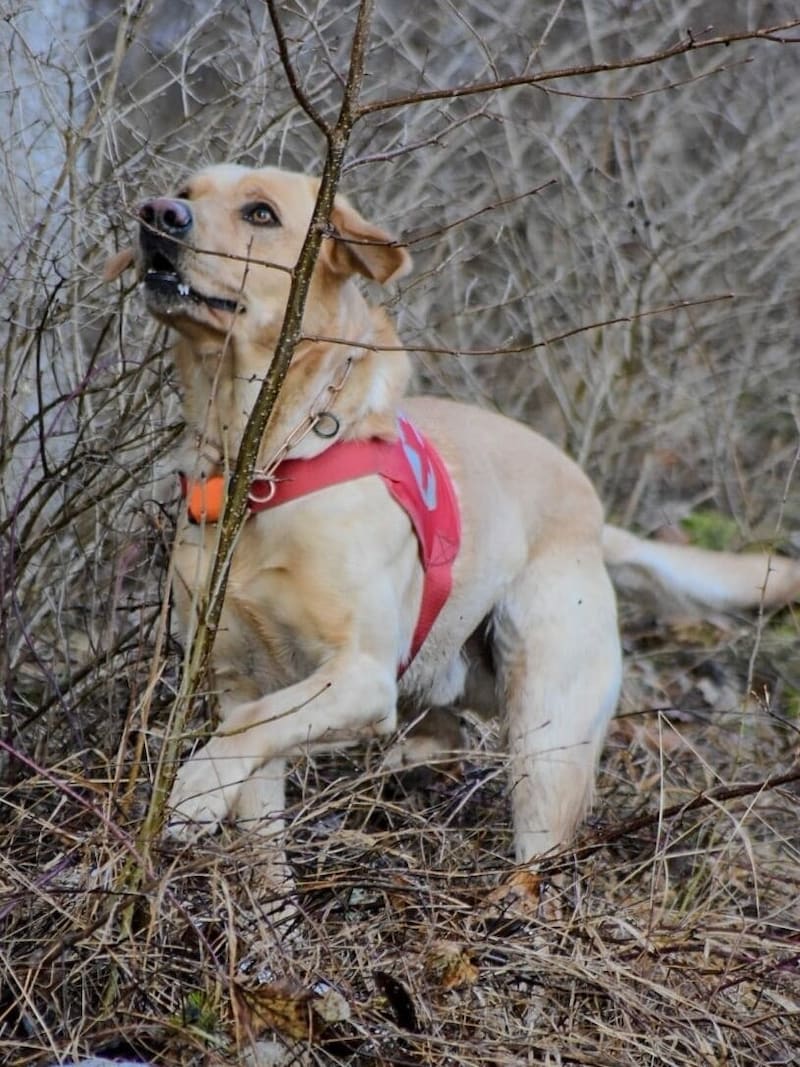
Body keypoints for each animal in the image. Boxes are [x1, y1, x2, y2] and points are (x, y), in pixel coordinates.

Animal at [105, 166, 800, 866]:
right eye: (188, 192)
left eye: (261, 214)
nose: (157, 214)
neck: (265, 468)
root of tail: (592, 514)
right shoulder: (237, 676)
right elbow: (257, 807)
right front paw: (260, 886)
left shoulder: (360, 675)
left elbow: (252, 727)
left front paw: (193, 790)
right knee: (441, 727)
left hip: (545, 734)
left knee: (538, 846)